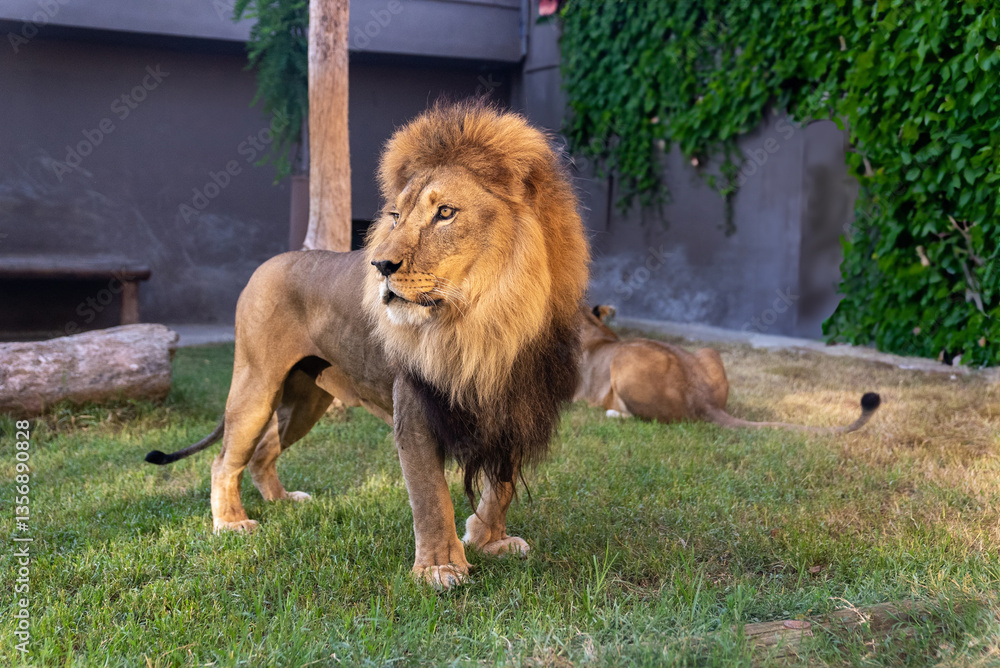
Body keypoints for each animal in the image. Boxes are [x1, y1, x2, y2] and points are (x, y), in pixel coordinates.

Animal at [144, 101, 589, 589]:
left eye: (446, 213)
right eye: (395, 216)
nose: (379, 264)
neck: (488, 318)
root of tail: (267, 264)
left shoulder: (517, 402)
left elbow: (502, 486)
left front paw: (489, 539)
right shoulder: (415, 408)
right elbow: (431, 496)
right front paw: (439, 567)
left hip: (306, 401)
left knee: (263, 452)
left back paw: (283, 500)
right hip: (256, 385)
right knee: (224, 459)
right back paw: (231, 522)